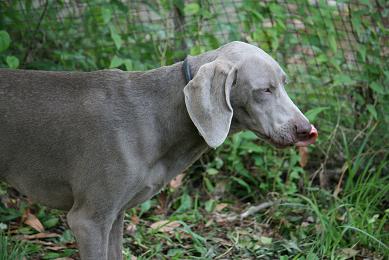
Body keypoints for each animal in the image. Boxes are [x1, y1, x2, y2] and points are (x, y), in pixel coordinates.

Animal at [0, 41, 316, 258]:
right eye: (265, 90)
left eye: (284, 83)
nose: (307, 130)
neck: (158, 115)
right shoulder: (89, 220)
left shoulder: (115, 216)